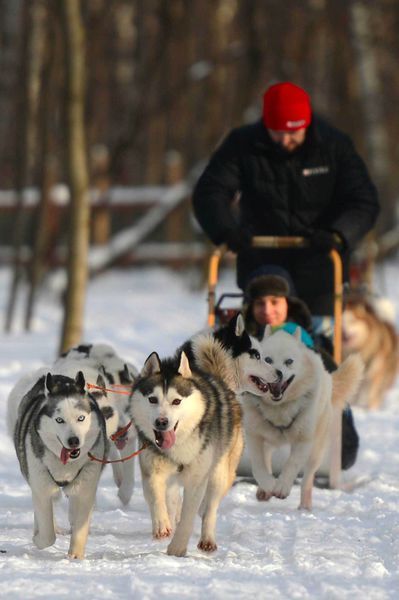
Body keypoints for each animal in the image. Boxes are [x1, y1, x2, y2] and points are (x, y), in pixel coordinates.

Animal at [7, 368, 108, 560]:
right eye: (59, 420)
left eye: (81, 418)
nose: (73, 441)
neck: (66, 466)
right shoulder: (41, 486)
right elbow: (47, 535)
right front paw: (38, 539)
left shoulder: (86, 486)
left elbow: (81, 524)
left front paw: (75, 556)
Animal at [131, 342, 244, 556]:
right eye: (152, 399)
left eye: (176, 401)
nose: (161, 422)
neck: (178, 447)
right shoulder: (151, 469)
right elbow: (155, 495)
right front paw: (162, 525)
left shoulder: (197, 479)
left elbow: (189, 515)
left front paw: (177, 548)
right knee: (173, 498)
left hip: (219, 473)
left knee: (210, 509)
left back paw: (207, 539)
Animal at [242, 328, 364, 510]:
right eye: (267, 360)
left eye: (289, 361)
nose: (278, 373)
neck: (279, 409)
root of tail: (328, 377)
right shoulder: (254, 436)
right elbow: (258, 466)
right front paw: (268, 485)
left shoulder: (303, 441)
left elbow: (292, 464)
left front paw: (282, 487)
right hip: (268, 438)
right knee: (268, 456)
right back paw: (264, 491)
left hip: (317, 451)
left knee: (308, 478)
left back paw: (305, 506)